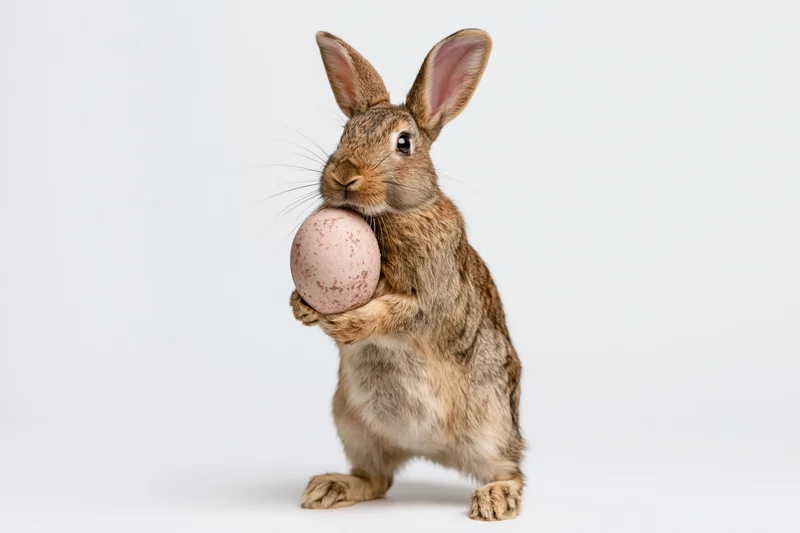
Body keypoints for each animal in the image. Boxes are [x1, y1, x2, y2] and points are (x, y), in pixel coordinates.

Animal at [289, 28, 524, 521]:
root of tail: (433, 453)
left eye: (403, 143)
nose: (345, 175)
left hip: (490, 426)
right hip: (353, 424)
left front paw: (347, 322)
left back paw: (495, 500)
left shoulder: (430, 297)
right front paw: (302, 307)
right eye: (344, 133)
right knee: (376, 478)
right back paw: (329, 488)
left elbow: (396, 311)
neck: (389, 214)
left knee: (510, 469)